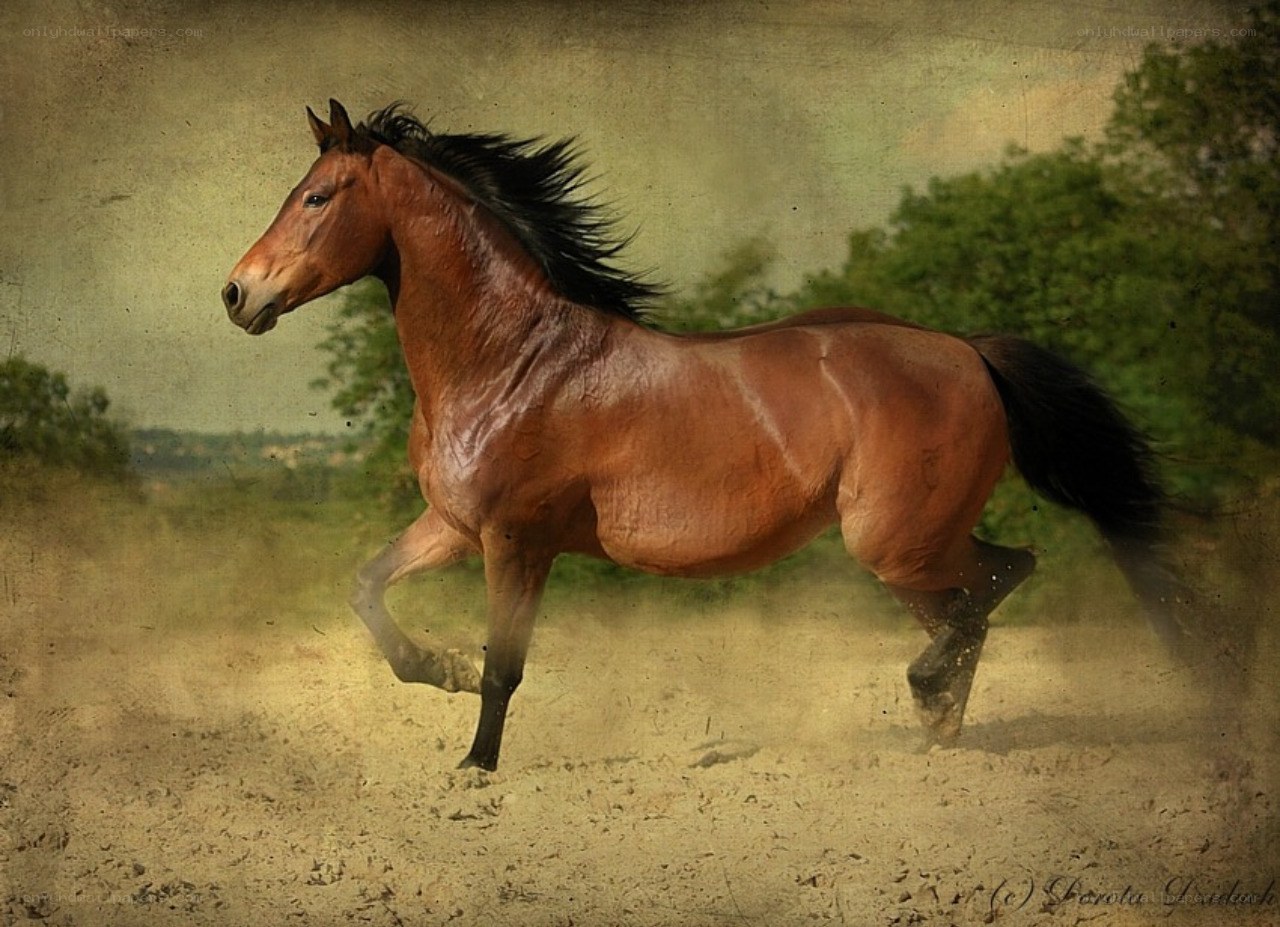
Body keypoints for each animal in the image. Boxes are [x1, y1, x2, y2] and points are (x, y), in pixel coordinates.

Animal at [223, 99, 1187, 771]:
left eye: (315, 197)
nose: (237, 293)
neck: (512, 361)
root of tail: (966, 349)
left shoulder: (517, 539)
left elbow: (507, 663)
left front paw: (475, 763)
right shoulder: (456, 527)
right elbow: (367, 589)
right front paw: (442, 668)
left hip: (895, 539)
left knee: (1002, 578)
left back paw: (925, 701)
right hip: (914, 547)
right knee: (973, 601)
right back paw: (937, 731)